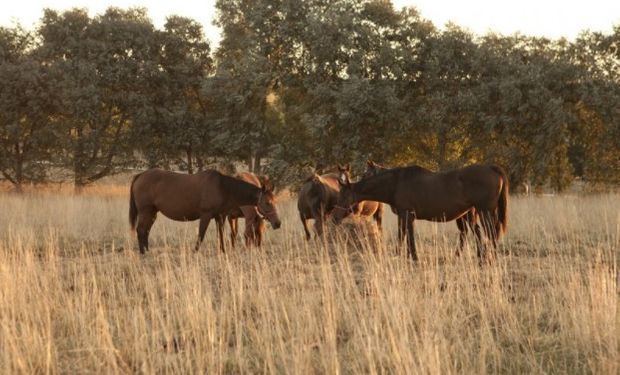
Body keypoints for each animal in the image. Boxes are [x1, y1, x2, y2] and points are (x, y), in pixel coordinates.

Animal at [130, 169, 282, 254]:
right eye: (267, 203)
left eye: (276, 201)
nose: (278, 223)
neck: (222, 187)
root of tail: (140, 175)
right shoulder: (206, 215)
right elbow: (201, 235)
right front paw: (195, 251)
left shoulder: (220, 217)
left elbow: (221, 235)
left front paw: (223, 251)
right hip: (145, 212)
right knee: (141, 230)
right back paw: (143, 253)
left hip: (152, 213)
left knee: (145, 231)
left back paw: (147, 250)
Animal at [334, 164, 508, 262]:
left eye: (344, 196)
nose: (334, 217)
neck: (396, 183)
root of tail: (492, 168)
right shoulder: (405, 216)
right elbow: (406, 235)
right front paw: (407, 255)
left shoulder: (406, 214)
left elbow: (405, 236)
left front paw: (407, 256)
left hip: (484, 211)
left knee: (490, 232)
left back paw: (488, 257)